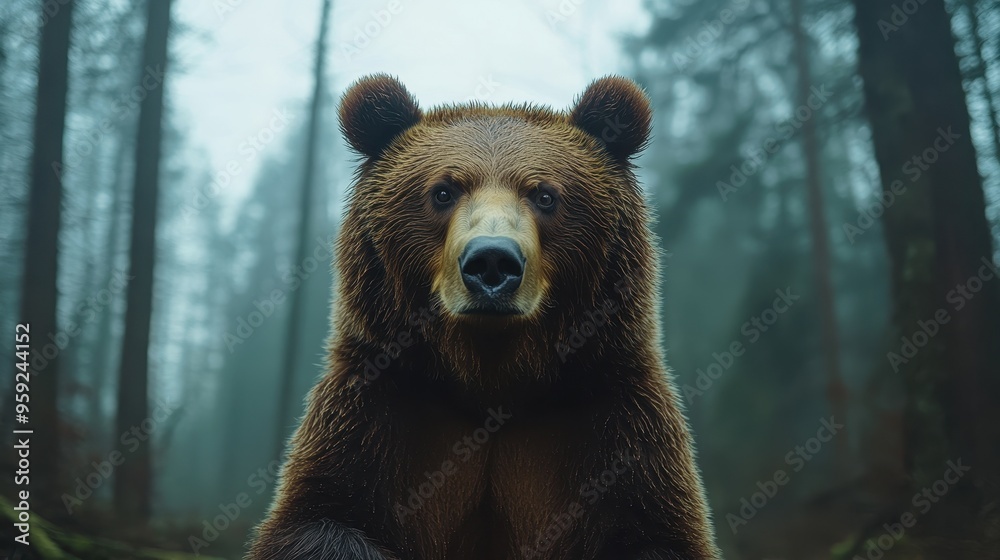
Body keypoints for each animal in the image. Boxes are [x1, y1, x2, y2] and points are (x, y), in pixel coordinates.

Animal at [247, 74, 720, 560]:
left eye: (545, 194)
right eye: (443, 191)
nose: (492, 262)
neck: (492, 383)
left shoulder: (614, 420)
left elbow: (653, 530)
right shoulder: (375, 411)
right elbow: (324, 517)